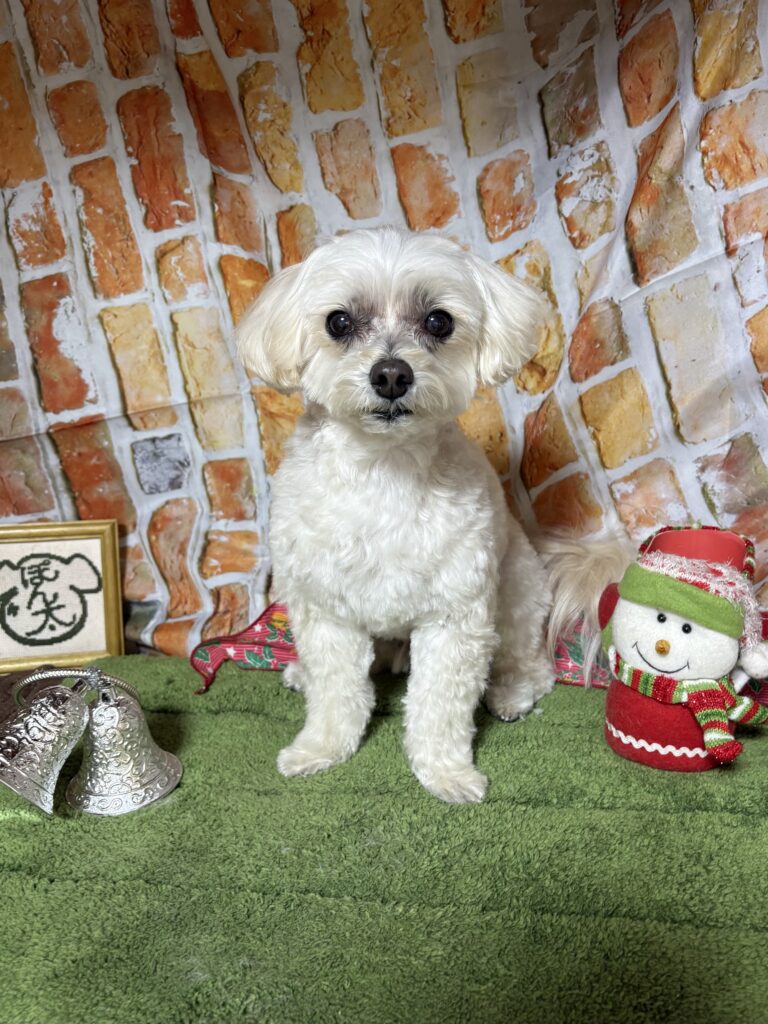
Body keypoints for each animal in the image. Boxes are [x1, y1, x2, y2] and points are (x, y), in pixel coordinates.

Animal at [236, 227, 557, 803]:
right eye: (339, 322)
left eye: (438, 321)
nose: (391, 374)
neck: (383, 472)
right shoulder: (326, 610)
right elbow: (337, 692)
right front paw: (321, 748)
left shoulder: (454, 616)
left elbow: (440, 704)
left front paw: (446, 771)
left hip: (518, 593)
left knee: (530, 662)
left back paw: (510, 693)